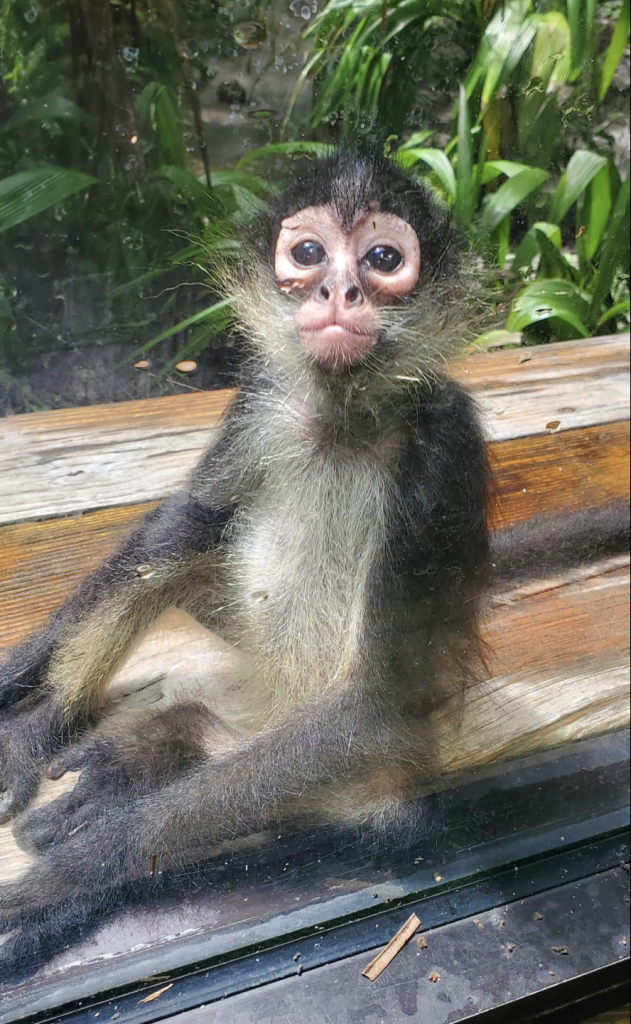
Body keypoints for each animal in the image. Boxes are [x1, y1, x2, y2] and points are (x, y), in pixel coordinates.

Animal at [0, 148, 628, 976]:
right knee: (177, 539)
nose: (340, 290)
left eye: (383, 260)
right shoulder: (261, 397)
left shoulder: (444, 443)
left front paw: (85, 869)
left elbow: (368, 704)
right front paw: (22, 698)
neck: (340, 418)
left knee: (357, 805)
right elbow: (182, 520)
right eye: (306, 253)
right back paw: (107, 736)